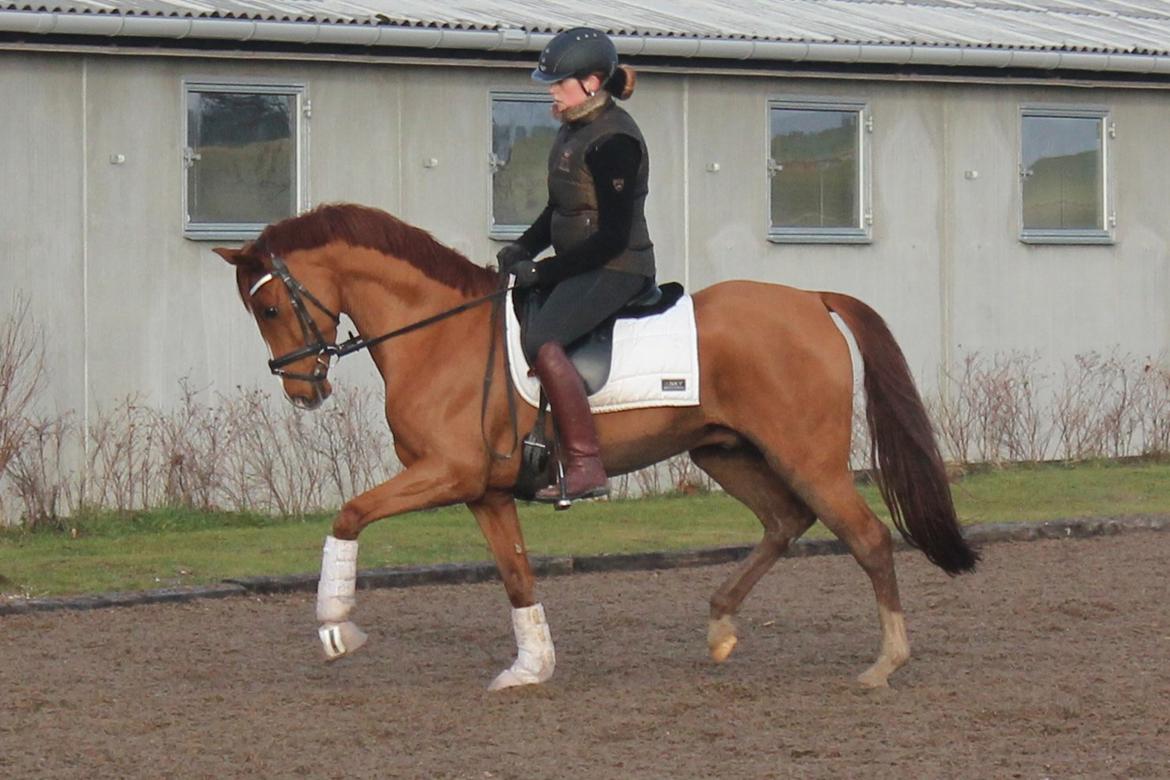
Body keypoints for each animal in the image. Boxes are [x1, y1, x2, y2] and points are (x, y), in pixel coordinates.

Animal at [213, 202, 978, 691]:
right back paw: (721, 626)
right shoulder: (485, 491)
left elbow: (348, 514)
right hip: (725, 452)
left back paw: (885, 663)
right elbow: (517, 575)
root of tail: (811, 298)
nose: (303, 391)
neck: (438, 335)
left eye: (270, 306)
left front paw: (335, 628)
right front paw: (530, 668)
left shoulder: (446, 474)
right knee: (786, 522)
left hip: (806, 456)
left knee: (866, 537)